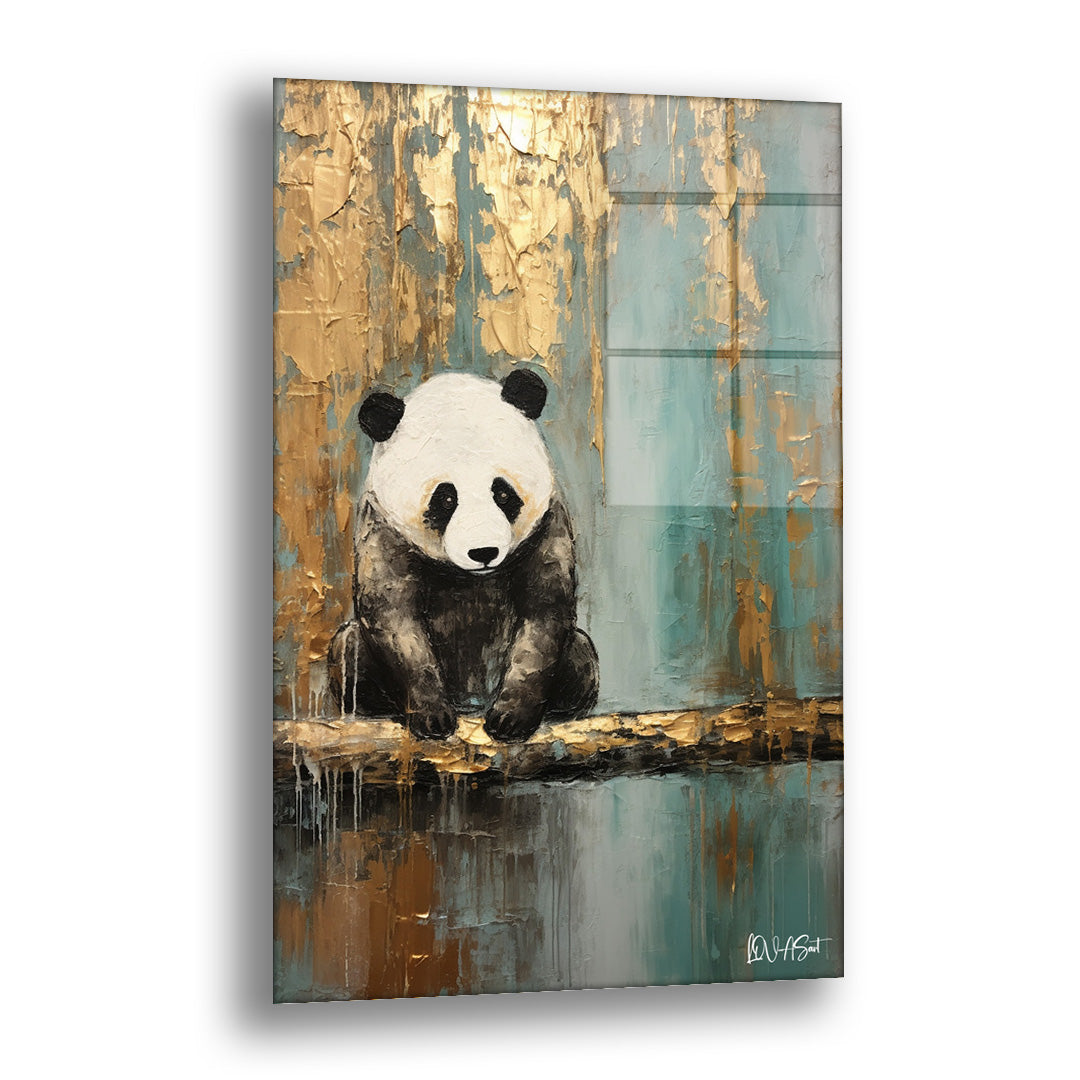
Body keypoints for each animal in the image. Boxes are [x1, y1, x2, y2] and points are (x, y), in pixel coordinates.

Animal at [328, 368, 599, 741]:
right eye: (445, 499)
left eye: (503, 493)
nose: (483, 551)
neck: (470, 577)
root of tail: (472, 701)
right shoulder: (383, 529)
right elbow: (395, 618)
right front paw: (432, 718)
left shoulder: (547, 523)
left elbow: (544, 613)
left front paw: (511, 719)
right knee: (349, 650)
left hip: (577, 662)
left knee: (581, 660)